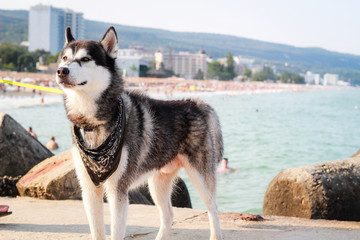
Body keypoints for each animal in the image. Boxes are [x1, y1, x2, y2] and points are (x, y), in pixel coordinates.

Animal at [57, 26, 222, 240]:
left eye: (85, 59)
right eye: (64, 58)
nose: (61, 71)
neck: (94, 122)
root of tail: (195, 103)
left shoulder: (118, 190)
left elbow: (116, 232)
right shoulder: (90, 189)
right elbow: (97, 231)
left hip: (200, 176)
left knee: (213, 207)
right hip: (158, 182)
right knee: (168, 214)